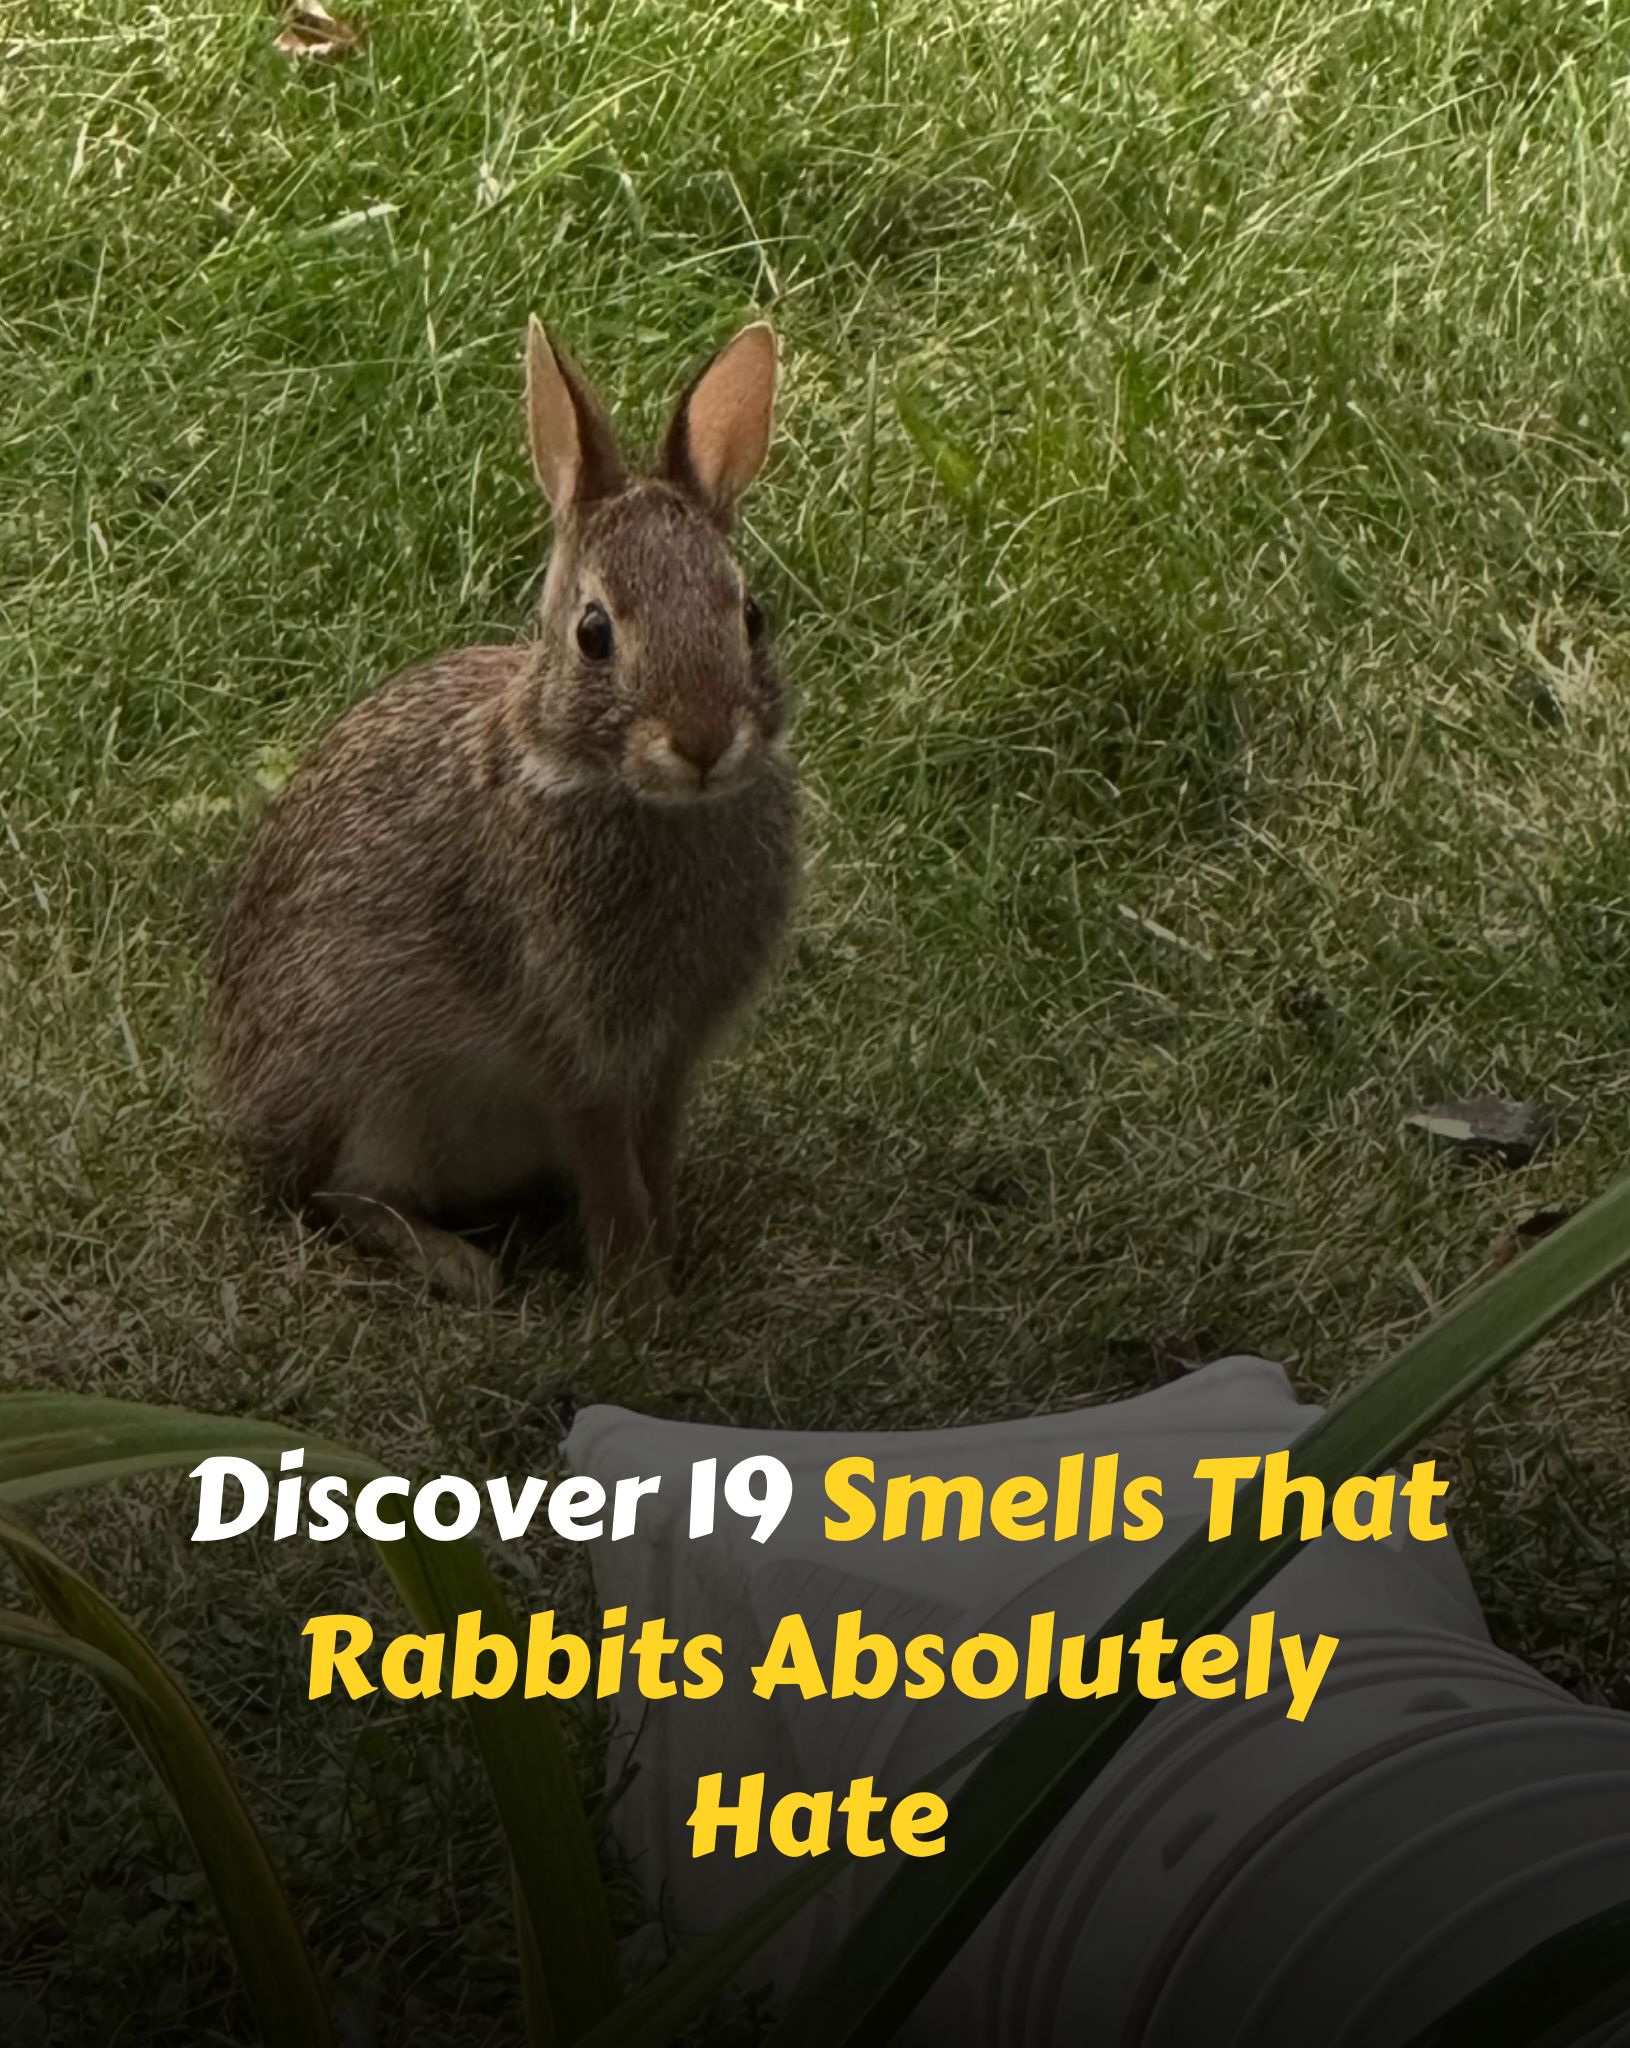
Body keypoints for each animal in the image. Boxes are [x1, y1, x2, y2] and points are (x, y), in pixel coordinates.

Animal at [207, 316, 798, 1308]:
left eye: (751, 615)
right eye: (594, 634)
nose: (705, 741)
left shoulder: (670, 1056)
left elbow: (655, 1154)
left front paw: (671, 1260)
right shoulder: (574, 1042)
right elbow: (609, 1164)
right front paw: (637, 1295)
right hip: (369, 1088)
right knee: (332, 1193)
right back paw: (460, 1265)